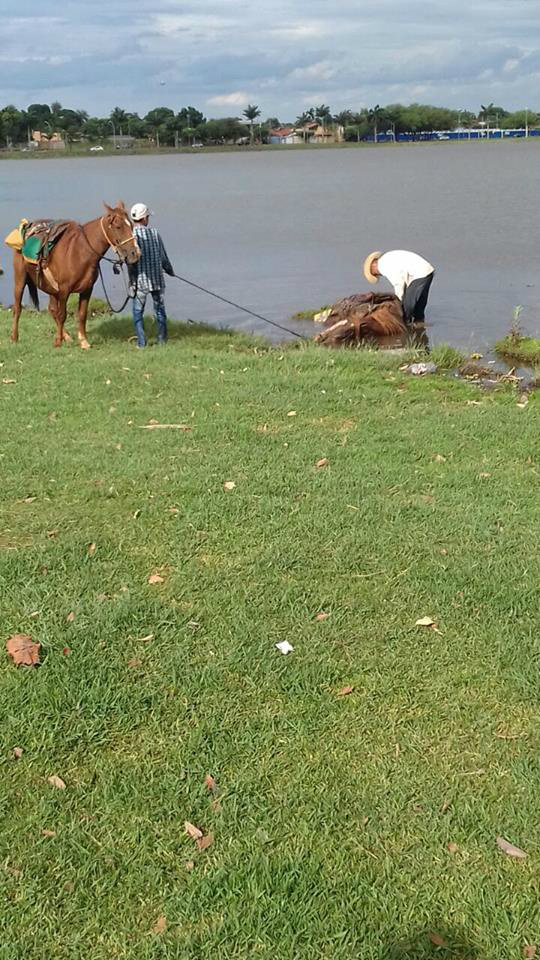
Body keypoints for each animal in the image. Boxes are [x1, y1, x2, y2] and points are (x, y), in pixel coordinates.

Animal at [12, 202, 141, 348]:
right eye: (118, 226)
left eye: (131, 225)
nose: (135, 254)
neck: (80, 252)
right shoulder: (64, 290)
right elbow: (62, 315)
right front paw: (58, 342)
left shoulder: (87, 289)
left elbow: (82, 314)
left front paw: (83, 341)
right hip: (20, 280)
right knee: (18, 308)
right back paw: (15, 337)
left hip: (51, 288)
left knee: (52, 309)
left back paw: (66, 336)